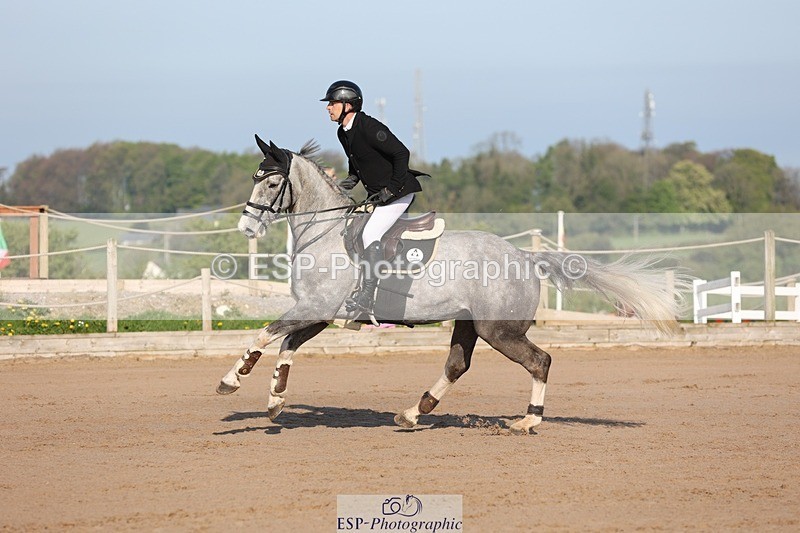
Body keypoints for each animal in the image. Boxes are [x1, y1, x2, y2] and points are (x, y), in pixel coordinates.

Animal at [216, 135, 686, 434]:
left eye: (272, 182)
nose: (246, 227)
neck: (326, 234)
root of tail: (524, 257)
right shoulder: (319, 311)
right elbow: (286, 344)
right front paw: (275, 401)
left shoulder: (315, 307)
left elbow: (266, 334)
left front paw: (232, 380)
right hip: (469, 324)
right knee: (457, 366)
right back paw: (412, 413)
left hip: (499, 330)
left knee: (540, 361)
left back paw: (528, 420)